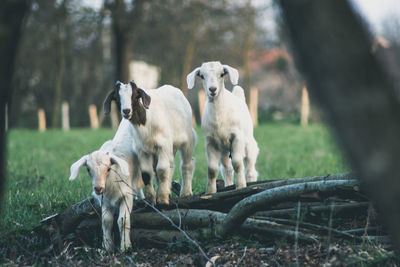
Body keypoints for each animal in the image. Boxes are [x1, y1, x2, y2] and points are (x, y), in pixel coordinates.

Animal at [69, 120, 144, 253]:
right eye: (88, 169)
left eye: (109, 168)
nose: (98, 188)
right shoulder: (105, 200)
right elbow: (106, 221)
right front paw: (107, 246)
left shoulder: (126, 195)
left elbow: (123, 220)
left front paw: (125, 247)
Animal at [187, 61, 260, 195]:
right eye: (202, 76)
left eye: (221, 74)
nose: (212, 89)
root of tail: (239, 96)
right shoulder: (211, 142)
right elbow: (212, 169)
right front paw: (210, 192)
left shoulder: (237, 138)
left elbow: (237, 163)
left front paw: (241, 187)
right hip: (224, 149)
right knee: (227, 168)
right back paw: (228, 185)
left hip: (249, 143)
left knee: (250, 170)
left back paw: (251, 183)